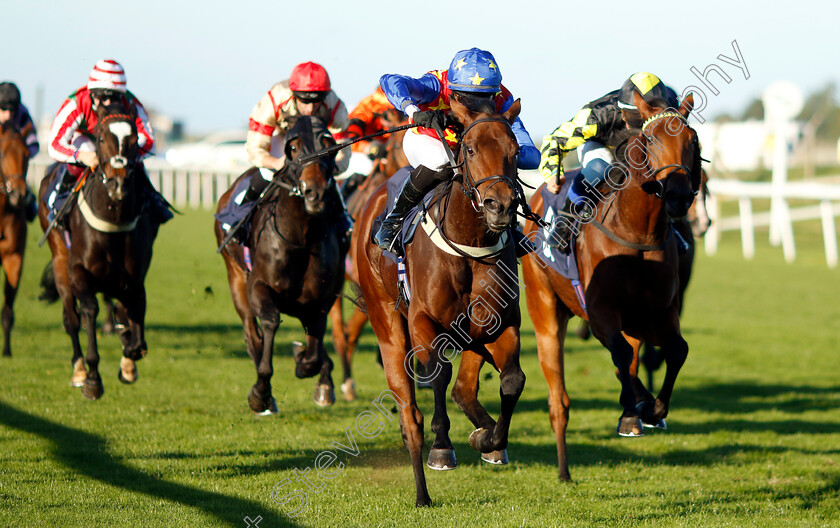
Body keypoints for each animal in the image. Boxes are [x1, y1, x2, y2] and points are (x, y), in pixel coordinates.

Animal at [38, 100, 159, 400]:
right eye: (102, 138)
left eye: (134, 139)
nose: (118, 184)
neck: (113, 220)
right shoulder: (80, 273)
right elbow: (89, 311)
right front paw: (93, 378)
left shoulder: (134, 278)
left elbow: (134, 322)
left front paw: (129, 360)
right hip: (60, 262)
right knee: (71, 318)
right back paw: (80, 369)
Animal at [218, 114, 350, 412]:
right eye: (292, 147)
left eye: (328, 143)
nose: (315, 193)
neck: (299, 239)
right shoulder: (258, 286)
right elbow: (269, 322)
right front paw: (260, 392)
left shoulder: (321, 299)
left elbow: (314, 350)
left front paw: (308, 366)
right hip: (235, 278)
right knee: (252, 335)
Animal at [358, 97, 528, 506]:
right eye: (471, 149)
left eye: (515, 151)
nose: (499, 206)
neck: (469, 243)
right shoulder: (423, 322)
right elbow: (438, 375)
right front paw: (442, 448)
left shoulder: (500, 324)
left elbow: (512, 380)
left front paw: (488, 438)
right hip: (388, 324)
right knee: (410, 416)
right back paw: (422, 492)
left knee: (465, 388)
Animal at [524, 93, 704, 480]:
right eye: (650, 140)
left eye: (692, 140)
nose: (678, 195)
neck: (637, 232)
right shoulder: (601, 312)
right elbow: (621, 355)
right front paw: (636, 411)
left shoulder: (660, 311)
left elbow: (675, 351)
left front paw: (652, 409)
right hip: (545, 308)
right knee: (559, 397)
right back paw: (564, 468)